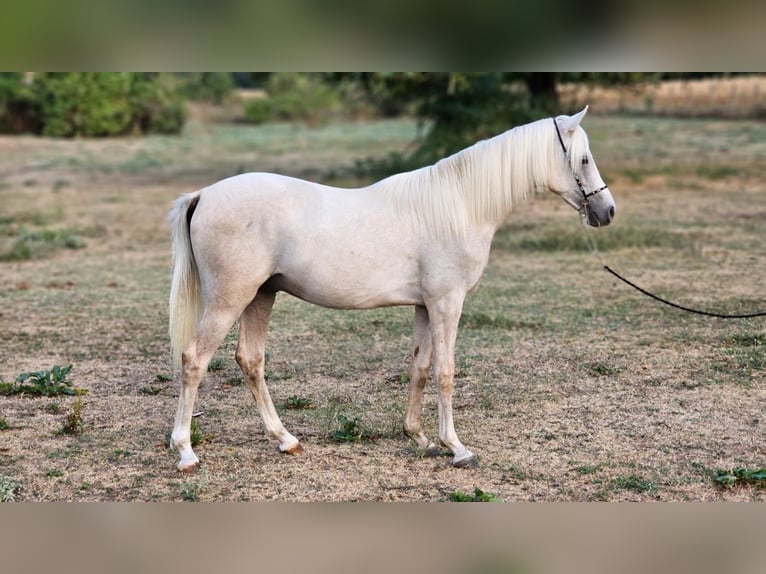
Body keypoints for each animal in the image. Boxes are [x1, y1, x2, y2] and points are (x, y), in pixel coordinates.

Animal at [168, 107, 616, 472]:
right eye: (583, 159)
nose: (606, 211)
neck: (459, 206)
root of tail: (203, 195)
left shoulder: (424, 307)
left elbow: (419, 368)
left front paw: (419, 438)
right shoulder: (447, 303)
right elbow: (445, 372)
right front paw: (456, 447)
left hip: (260, 296)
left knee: (250, 360)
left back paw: (286, 440)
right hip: (231, 299)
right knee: (195, 360)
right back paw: (186, 452)